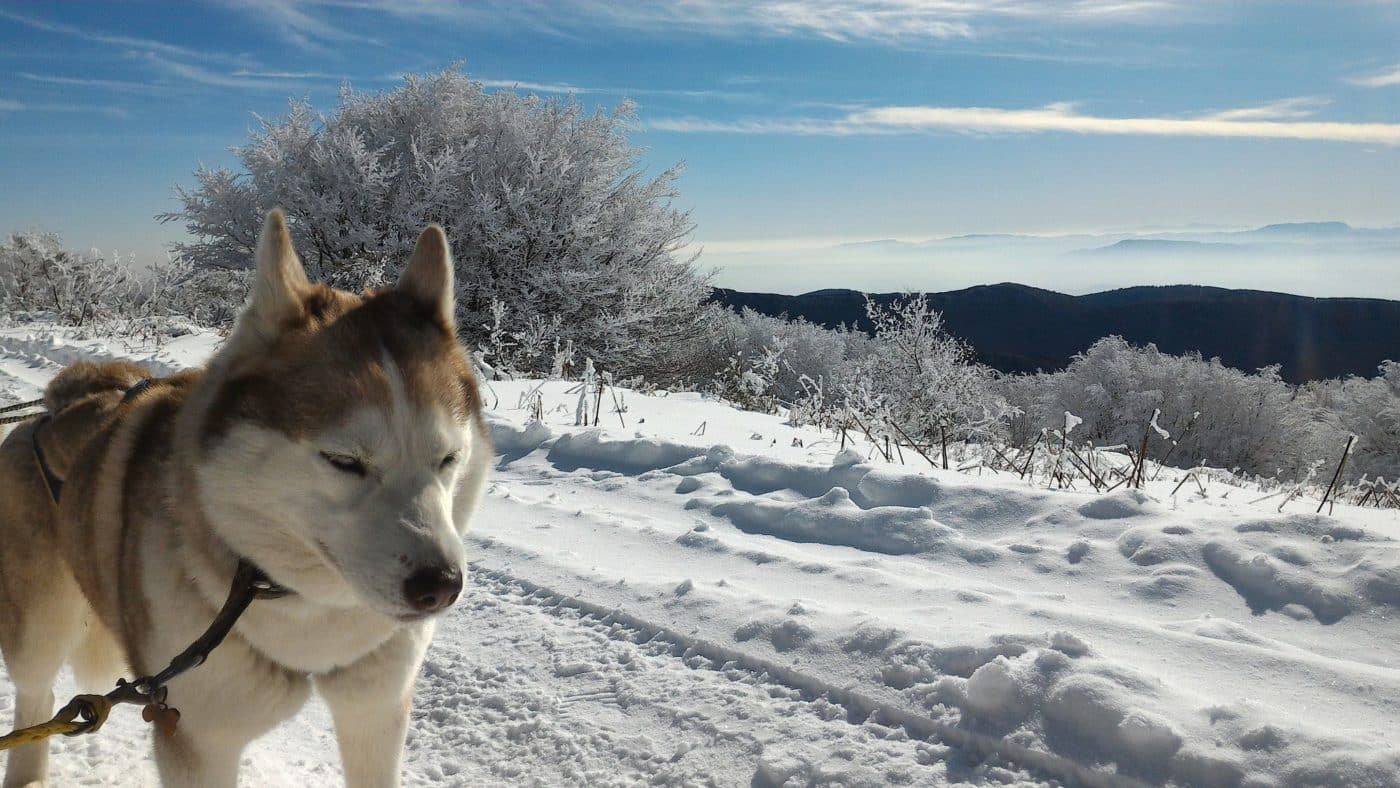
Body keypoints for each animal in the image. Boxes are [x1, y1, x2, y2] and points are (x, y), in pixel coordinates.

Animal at [0, 211, 492, 788]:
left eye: (448, 458)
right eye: (343, 461)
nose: (440, 587)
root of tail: (51, 408)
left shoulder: (376, 711)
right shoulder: (198, 738)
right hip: (38, 631)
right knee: (36, 695)